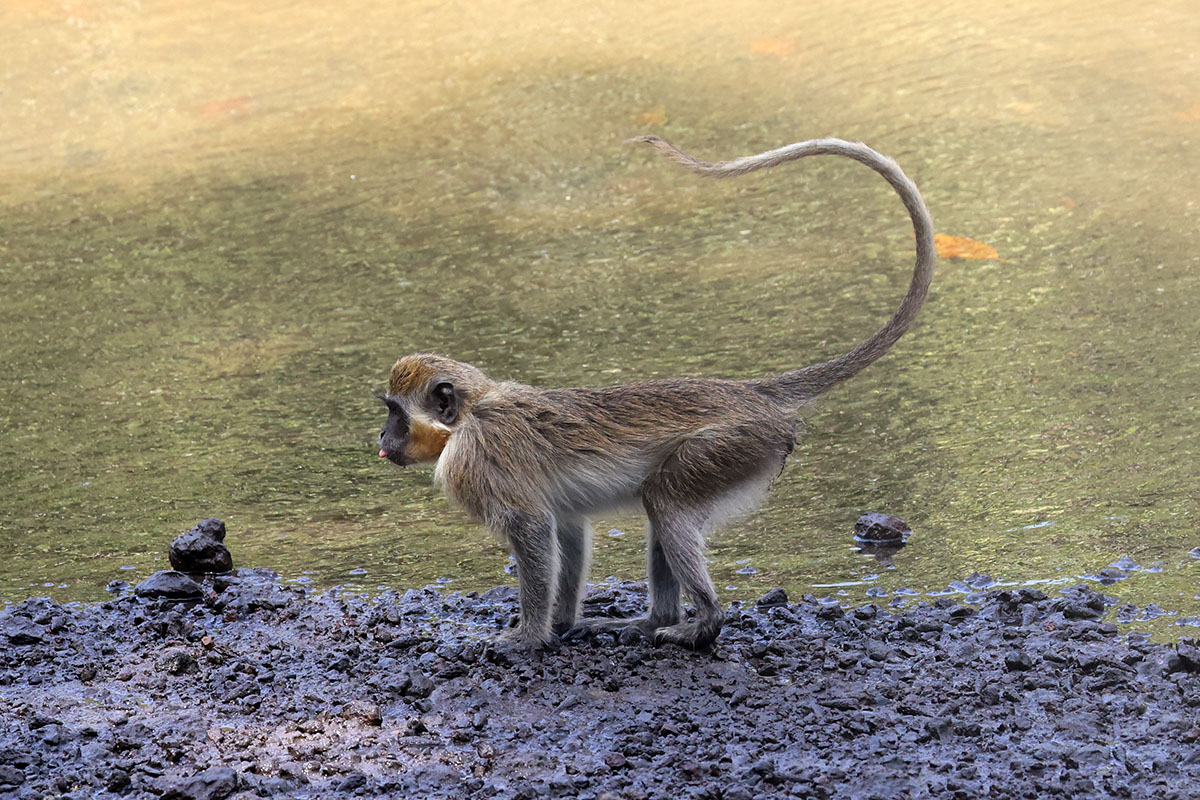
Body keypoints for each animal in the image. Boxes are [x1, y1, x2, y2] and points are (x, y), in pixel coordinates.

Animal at [377, 135, 934, 650]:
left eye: (395, 414)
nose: (381, 439)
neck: (470, 412)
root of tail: (748, 393)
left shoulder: (476, 461)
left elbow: (533, 529)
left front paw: (530, 636)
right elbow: (567, 530)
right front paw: (560, 622)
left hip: (729, 447)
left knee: (664, 501)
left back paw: (702, 624)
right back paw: (656, 621)